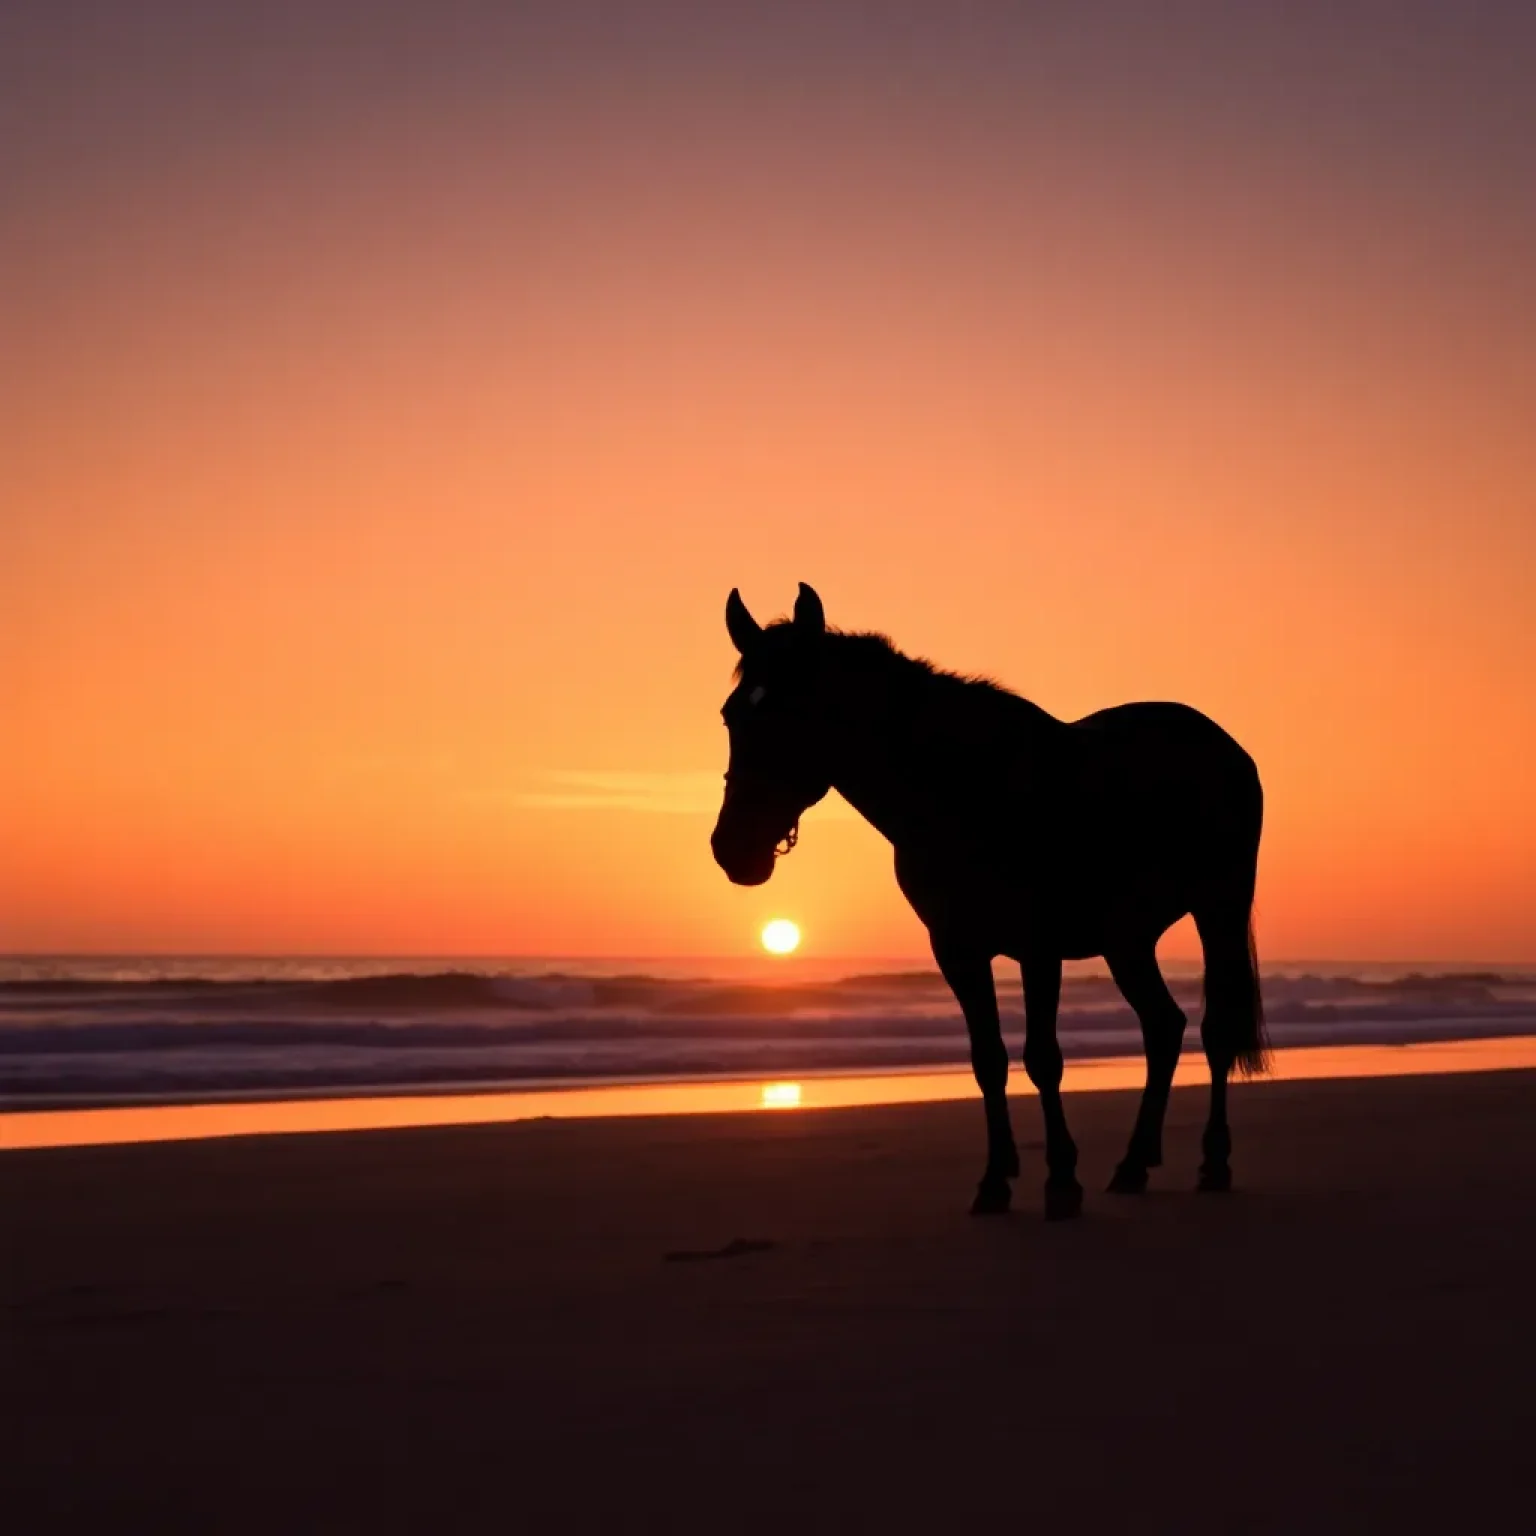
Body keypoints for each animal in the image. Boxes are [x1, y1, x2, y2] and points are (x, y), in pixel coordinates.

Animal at [712, 580, 1265, 1216]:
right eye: (731, 716)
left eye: (793, 715)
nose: (732, 850)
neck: (963, 791)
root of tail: (1224, 747)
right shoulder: (958, 949)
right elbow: (988, 1060)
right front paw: (996, 1181)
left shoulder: (1038, 947)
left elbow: (1043, 1059)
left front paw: (1061, 1180)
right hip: (1128, 940)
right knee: (1164, 1027)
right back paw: (1132, 1165)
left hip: (1219, 909)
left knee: (1215, 1031)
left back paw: (1213, 1161)